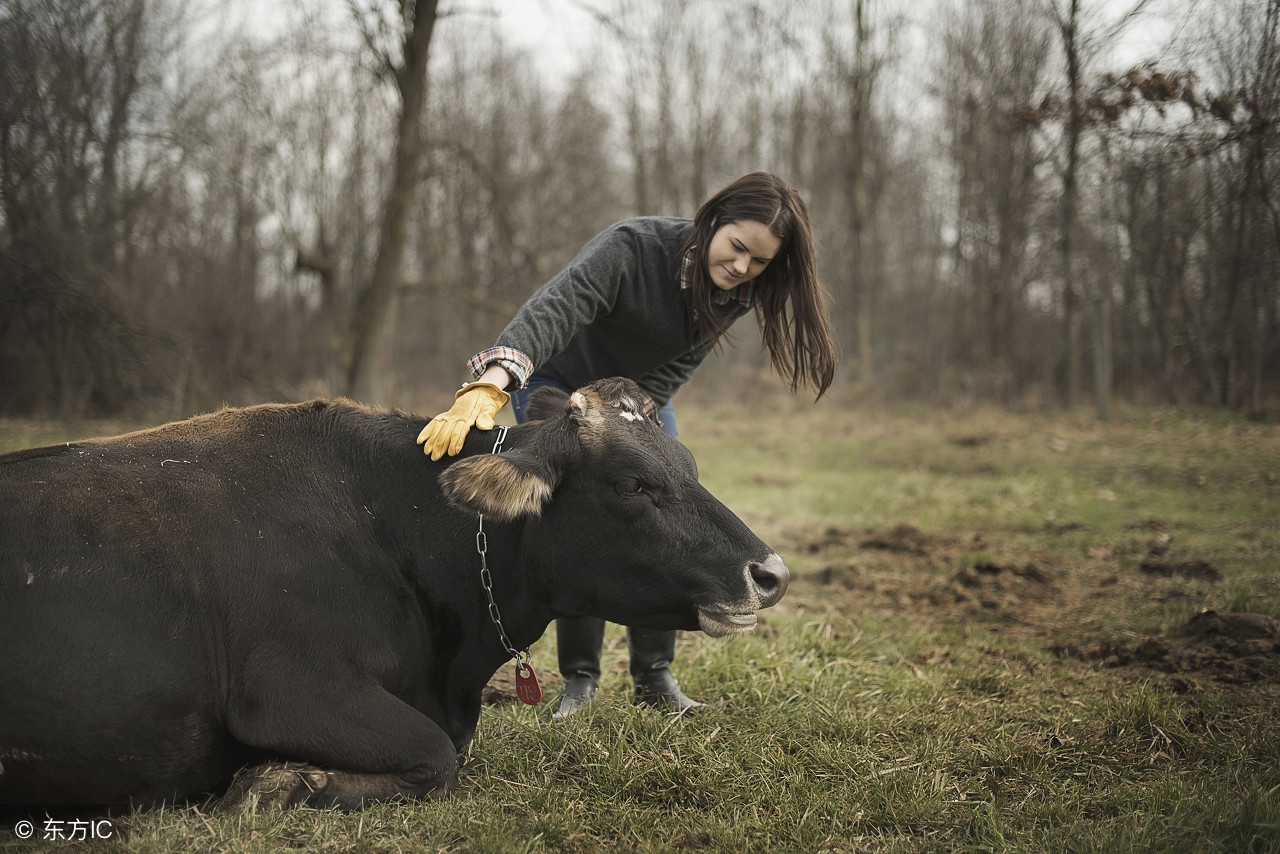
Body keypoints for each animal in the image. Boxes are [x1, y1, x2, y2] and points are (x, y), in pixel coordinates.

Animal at [0, 378, 783, 809]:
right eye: (635, 484)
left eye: (685, 463)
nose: (770, 573)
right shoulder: (288, 687)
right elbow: (436, 756)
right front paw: (280, 783)